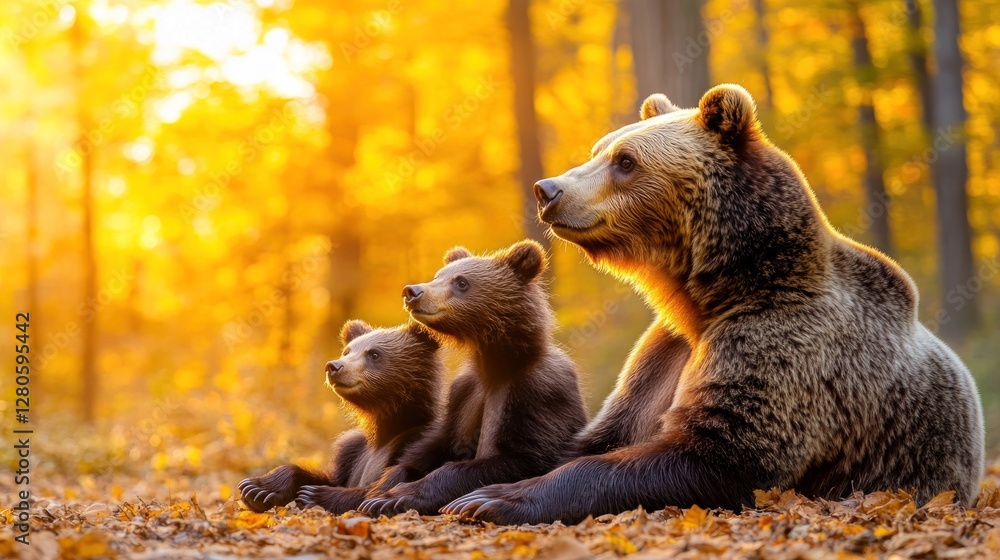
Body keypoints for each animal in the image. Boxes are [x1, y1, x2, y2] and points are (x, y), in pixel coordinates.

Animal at [238, 320, 441, 513]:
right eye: (347, 351)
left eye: (374, 354)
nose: (334, 366)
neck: (384, 430)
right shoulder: (351, 451)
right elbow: (332, 477)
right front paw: (257, 487)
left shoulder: (415, 441)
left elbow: (378, 488)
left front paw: (314, 495)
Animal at [354, 240, 588, 516]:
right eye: (437, 276)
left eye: (461, 282)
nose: (412, 291)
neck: (495, 367)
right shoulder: (463, 394)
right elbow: (429, 449)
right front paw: (383, 489)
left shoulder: (539, 391)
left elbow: (524, 458)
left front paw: (397, 496)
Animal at [442, 84, 985, 525]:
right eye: (599, 149)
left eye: (626, 160)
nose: (548, 190)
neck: (708, 296)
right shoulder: (662, 353)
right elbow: (596, 436)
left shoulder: (780, 344)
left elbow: (715, 453)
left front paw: (494, 499)